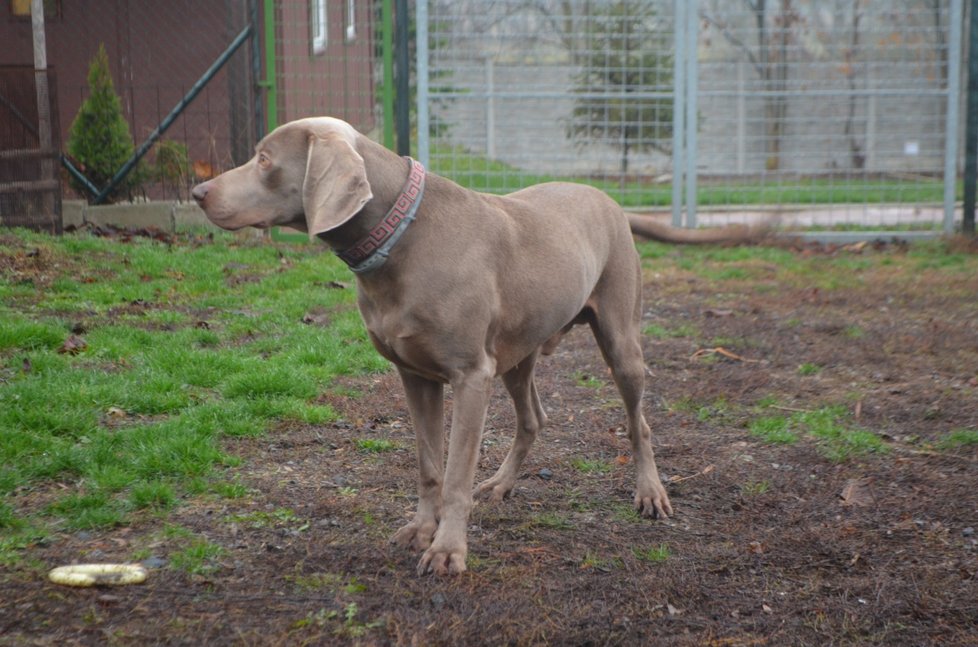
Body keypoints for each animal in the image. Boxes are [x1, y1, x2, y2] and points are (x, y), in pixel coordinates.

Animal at [191, 117, 740, 576]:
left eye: (264, 159)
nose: (197, 191)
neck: (401, 236)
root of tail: (604, 196)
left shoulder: (471, 375)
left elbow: (455, 475)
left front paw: (448, 549)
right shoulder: (415, 376)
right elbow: (430, 467)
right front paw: (421, 530)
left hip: (620, 340)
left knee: (638, 423)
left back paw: (650, 493)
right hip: (518, 353)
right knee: (533, 418)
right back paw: (501, 484)